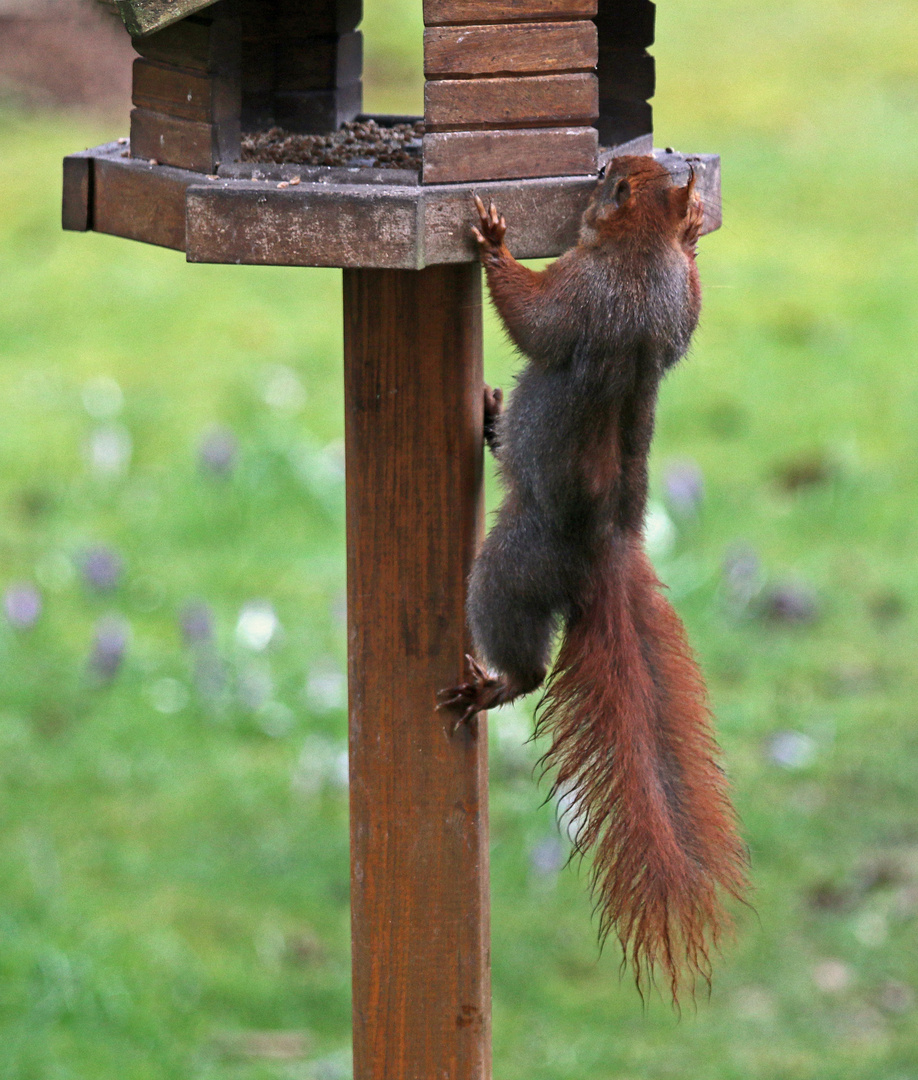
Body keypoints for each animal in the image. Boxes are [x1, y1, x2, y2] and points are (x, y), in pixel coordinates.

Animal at [440, 156, 747, 997]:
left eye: (612, 173)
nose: (606, 160)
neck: (638, 252)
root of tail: (604, 556)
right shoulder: (674, 308)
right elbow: (693, 303)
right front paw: (694, 232)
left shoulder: (585, 290)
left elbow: (536, 318)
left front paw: (494, 240)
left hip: (507, 568)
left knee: (529, 663)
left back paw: (494, 685)